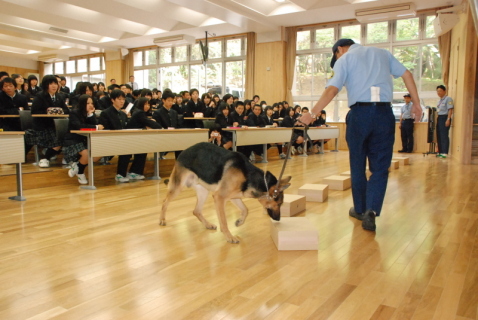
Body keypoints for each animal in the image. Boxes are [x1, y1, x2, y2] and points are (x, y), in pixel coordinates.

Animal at [160, 142, 292, 242]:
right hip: (178, 187)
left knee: (196, 211)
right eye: (279, 204)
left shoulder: (234, 197)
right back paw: (162, 220)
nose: (278, 219)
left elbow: (245, 209)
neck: (249, 176)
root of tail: (183, 151)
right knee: (165, 201)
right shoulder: (219, 198)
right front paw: (229, 236)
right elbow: (224, 221)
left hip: (203, 191)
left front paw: (239, 222)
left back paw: (207, 224)